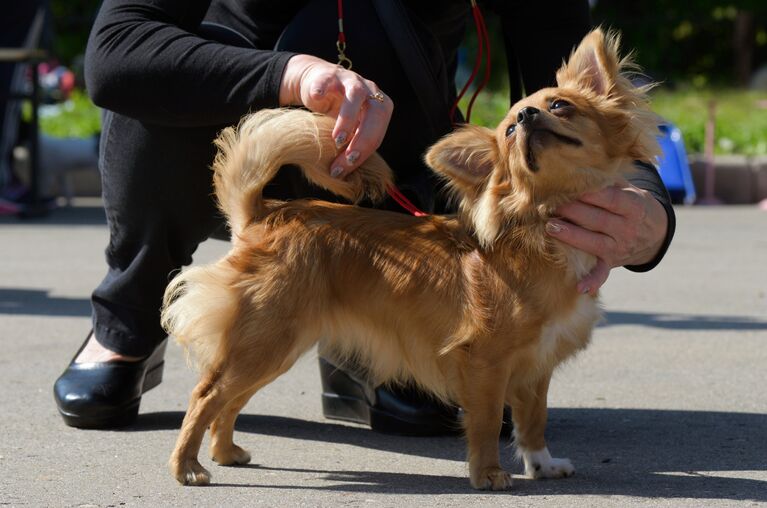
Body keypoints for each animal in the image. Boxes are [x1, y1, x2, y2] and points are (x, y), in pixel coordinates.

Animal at [165, 29, 664, 490]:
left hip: (275, 347)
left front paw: (542, 464)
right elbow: (486, 423)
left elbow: (533, 420)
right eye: (508, 132)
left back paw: (226, 452)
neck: (544, 225)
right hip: (267, 341)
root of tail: (263, 215)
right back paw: (187, 466)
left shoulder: (535, 366)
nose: (525, 115)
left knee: (228, 401)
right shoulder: (486, 363)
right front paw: (487, 474)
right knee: (206, 395)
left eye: (560, 105)